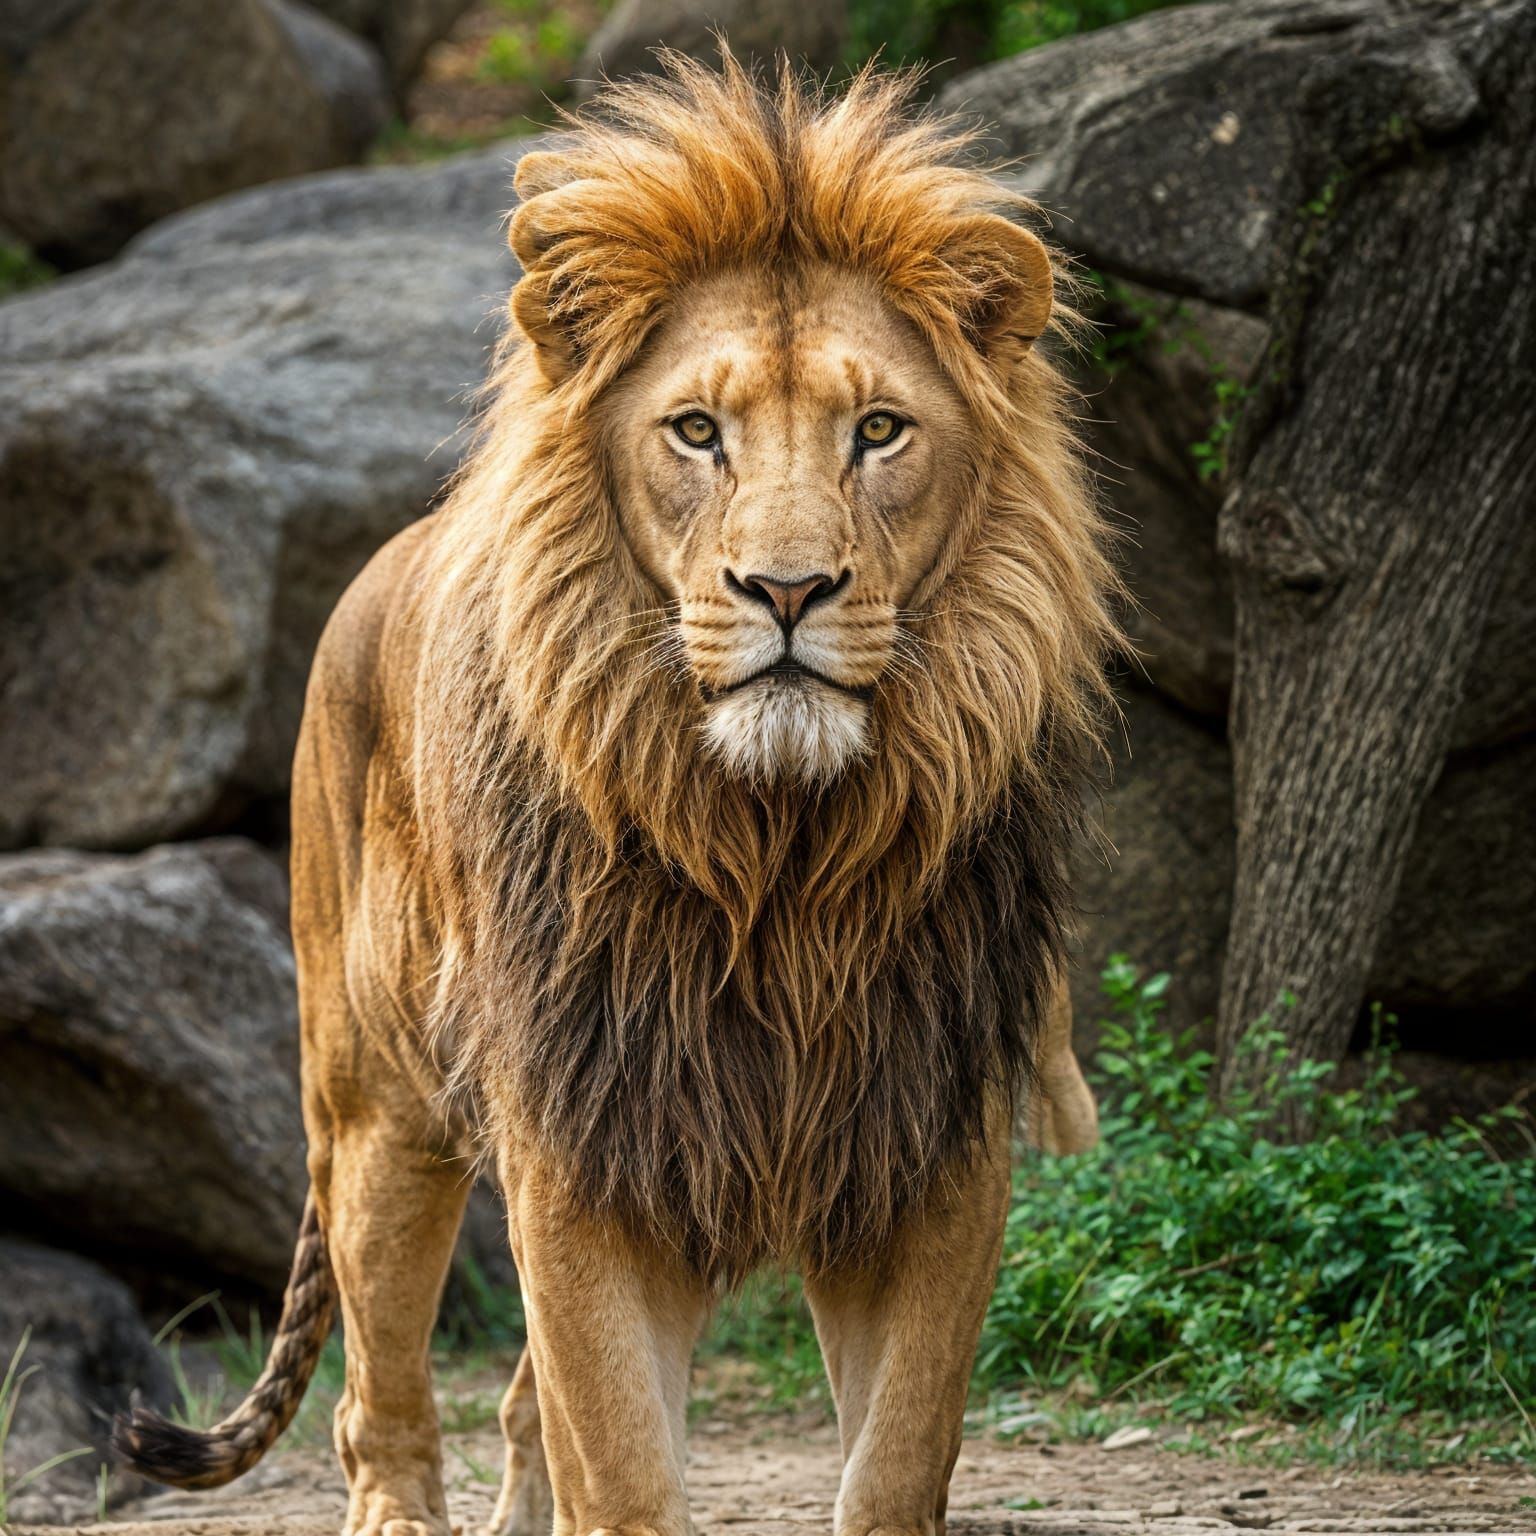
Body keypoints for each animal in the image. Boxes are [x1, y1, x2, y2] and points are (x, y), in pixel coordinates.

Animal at [114, 52, 1116, 1536]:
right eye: (695, 432)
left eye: (880, 431)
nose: (787, 590)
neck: (778, 854)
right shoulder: (580, 1147)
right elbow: (626, 1467)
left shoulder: (926, 1151)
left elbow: (891, 1462)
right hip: (377, 1117)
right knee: (381, 1401)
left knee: (522, 1407)